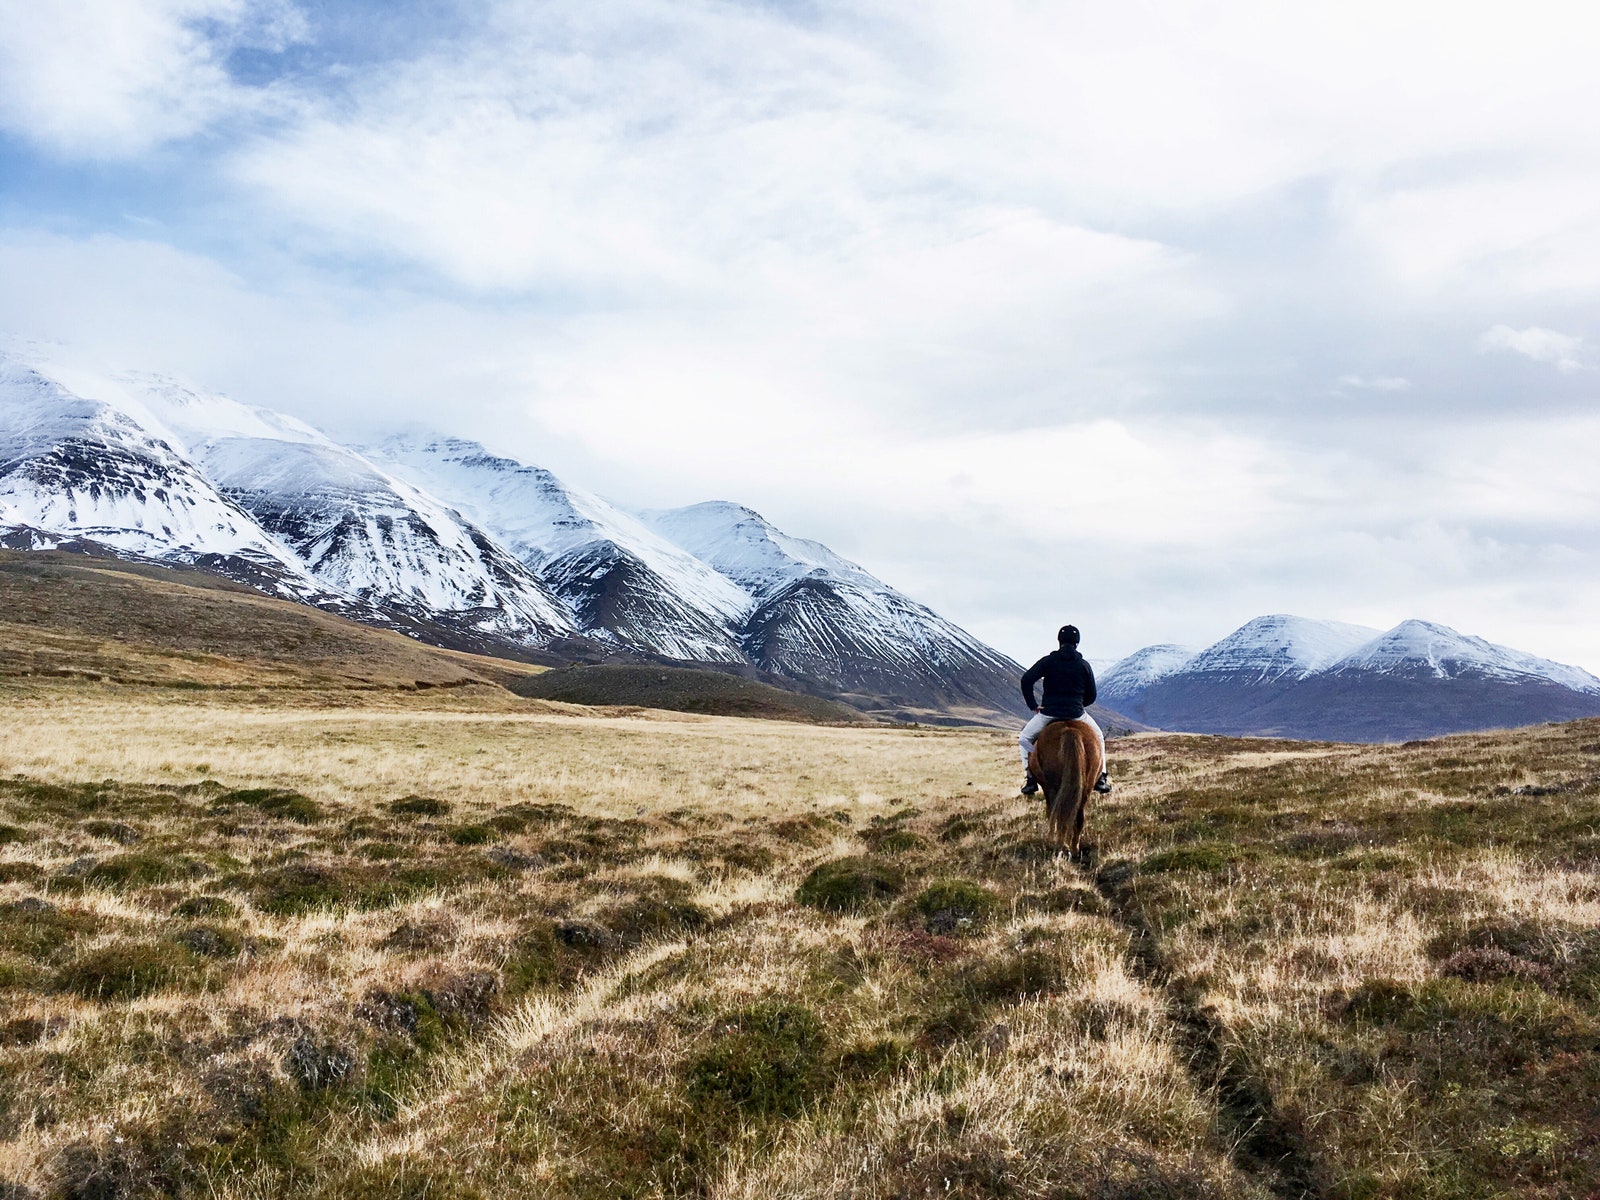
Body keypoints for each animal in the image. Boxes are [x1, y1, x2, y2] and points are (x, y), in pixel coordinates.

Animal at [1030, 720, 1107, 857]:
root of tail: (1071, 730)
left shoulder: (1046, 787)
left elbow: (1050, 812)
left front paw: (1050, 838)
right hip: (1086, 787)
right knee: (1078, 817)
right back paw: (1074, 848)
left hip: (1053, 786)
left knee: (1057, 814)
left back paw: (1059, 844)